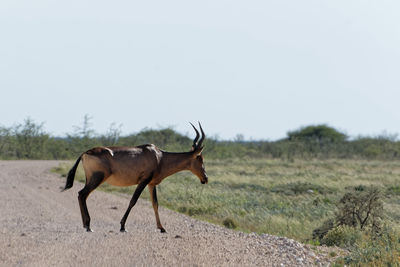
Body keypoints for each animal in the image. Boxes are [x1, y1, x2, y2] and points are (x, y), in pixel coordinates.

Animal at [62, 122, 208, 233]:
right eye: (200, 158)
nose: (205, 179)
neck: (159, 156)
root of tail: (85, 153)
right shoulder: (143, 181)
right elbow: (133, 201)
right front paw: (122, 226)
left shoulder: (151, 184)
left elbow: (155, 204)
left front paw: (162, 228)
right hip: (97, 178)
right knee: (82, 194)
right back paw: (88, 226)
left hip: (90, 179)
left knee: (82, 195)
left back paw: (86, 225)